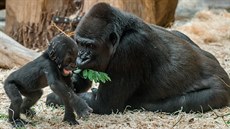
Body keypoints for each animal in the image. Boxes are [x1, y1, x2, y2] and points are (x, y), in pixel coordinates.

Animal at [73, 3, 230, 114]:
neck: (123, 31)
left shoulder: (130, 47)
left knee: (182, 103)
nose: (81, 57)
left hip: (221, 90)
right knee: (178, 33)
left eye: (90, 46)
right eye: (79, 44)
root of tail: (223, 72)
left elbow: (103, 105)